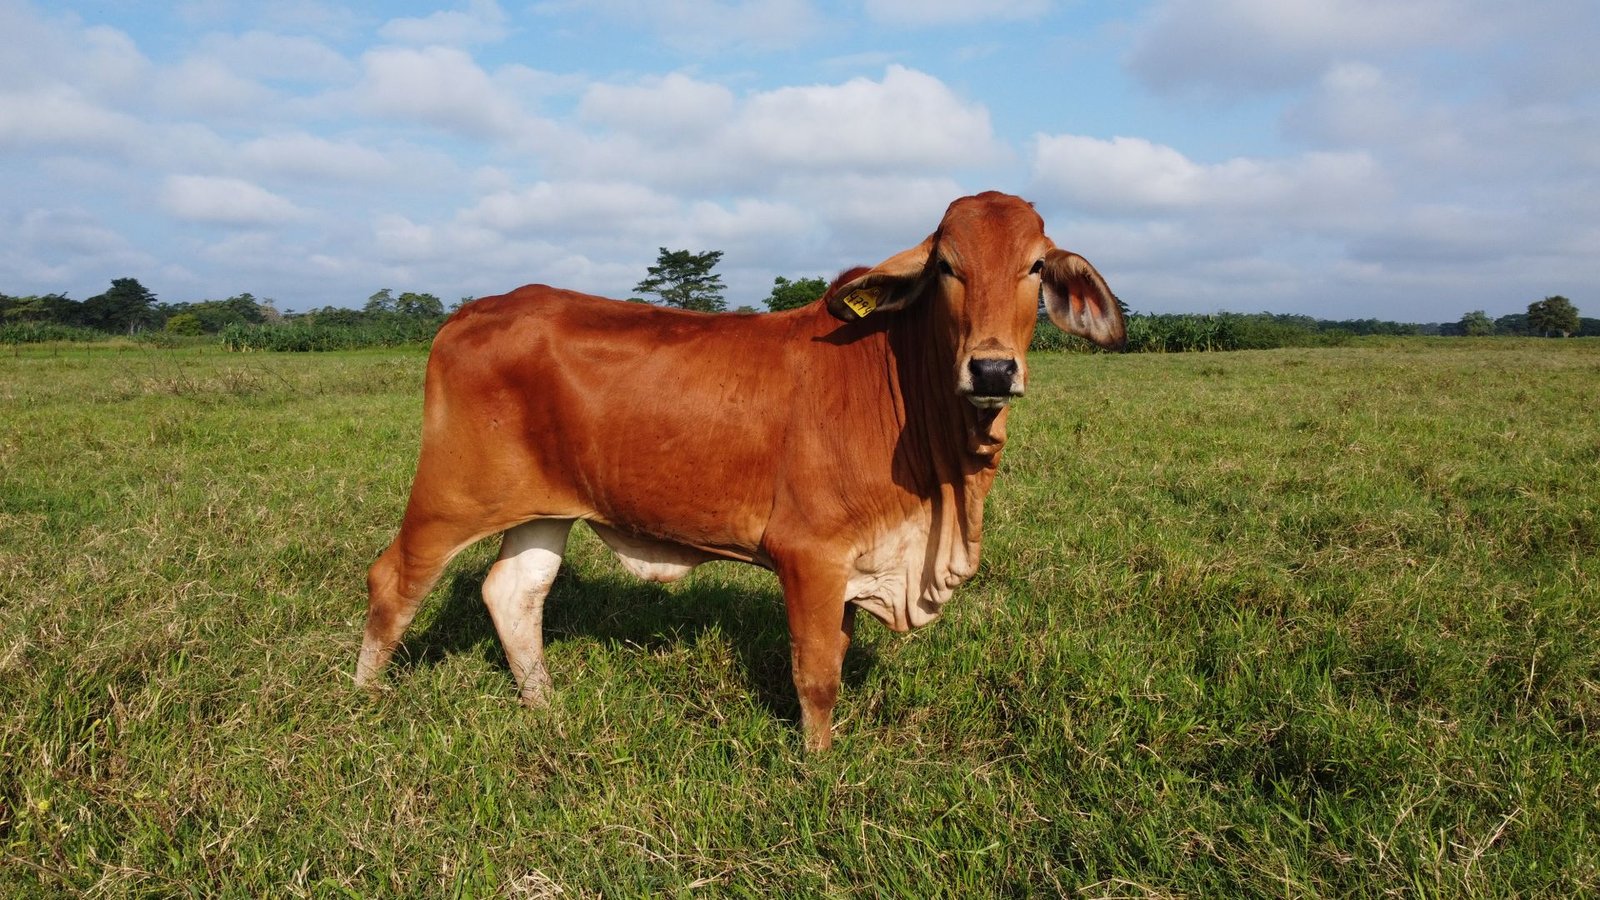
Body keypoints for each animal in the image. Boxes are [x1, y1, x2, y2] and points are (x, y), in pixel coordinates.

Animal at [356, 191, 1126, 751]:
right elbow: (816, 674)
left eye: (1035, 268)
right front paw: (818, 770)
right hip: (451, 494)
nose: (993, 369)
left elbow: (836, 653)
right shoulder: (809, 554)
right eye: (947, 267)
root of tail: (472, 310)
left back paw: (546, 710)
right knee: (393, 580)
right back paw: (364, 701)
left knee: (514, 594)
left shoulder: (851, 565)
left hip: (545, 508)